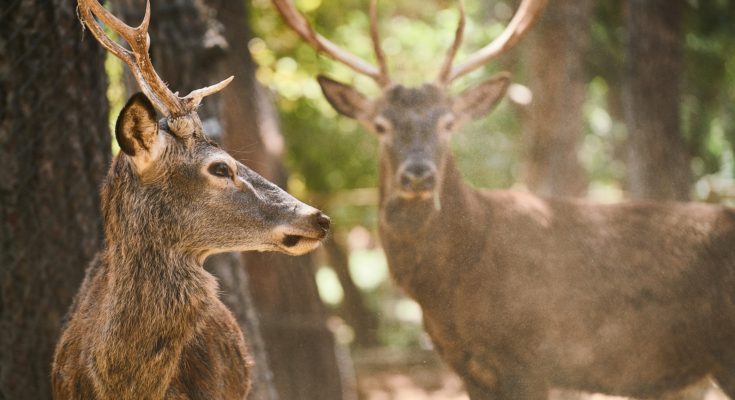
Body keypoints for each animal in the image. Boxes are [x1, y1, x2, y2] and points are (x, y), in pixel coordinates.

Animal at [273, 0, 735, 398]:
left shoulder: (533, 357)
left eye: (448, 123)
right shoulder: (465, 365)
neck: (450, 288)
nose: (419, 173)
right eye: (381, 125)